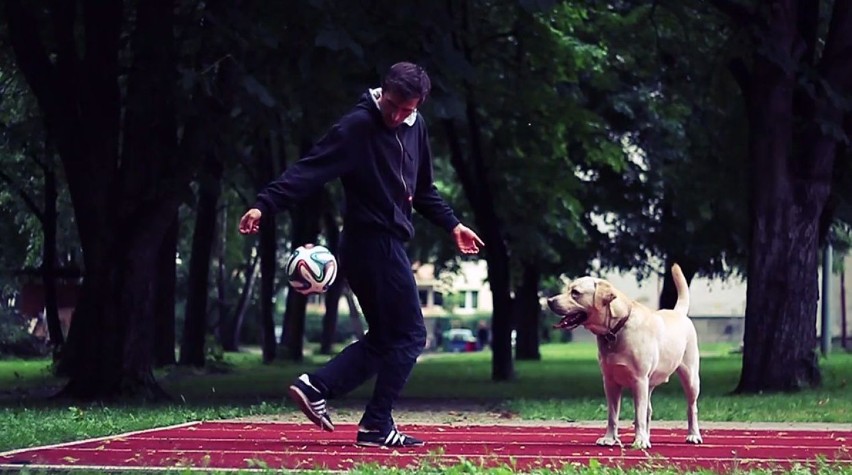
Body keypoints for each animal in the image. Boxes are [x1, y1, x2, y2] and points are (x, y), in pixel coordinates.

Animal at [548, 264, 704, 450]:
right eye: (567, 289)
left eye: (575, 292)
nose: (549, 300)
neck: (617, 328)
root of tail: (678, 312)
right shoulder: (610, 382)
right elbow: (612, 415)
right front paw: (609, 438)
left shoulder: (639, 380)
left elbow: (638, 415)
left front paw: (640, 440)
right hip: (650, 384)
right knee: (649, 410)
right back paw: (648, 436)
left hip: (690, 377)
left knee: (691, 407)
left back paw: (693, 435)